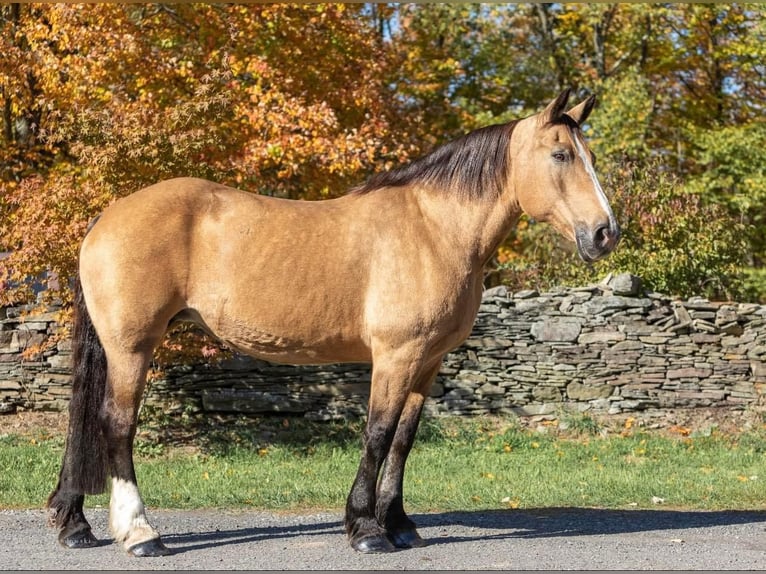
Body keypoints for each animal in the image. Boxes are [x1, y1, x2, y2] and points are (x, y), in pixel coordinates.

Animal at [46, 90, 624, 560]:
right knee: (116, 425)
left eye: (591, 157)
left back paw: (75, 525)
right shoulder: (395, 355)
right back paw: (140, 533)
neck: (433, 228)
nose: (605, 234)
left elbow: (404, 439)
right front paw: (366, 529)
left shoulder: (428, 361)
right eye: (560, 155)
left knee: (83, 422)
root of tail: (108, 214)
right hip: (132, 347)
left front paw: (400, 525)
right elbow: (377, 434)